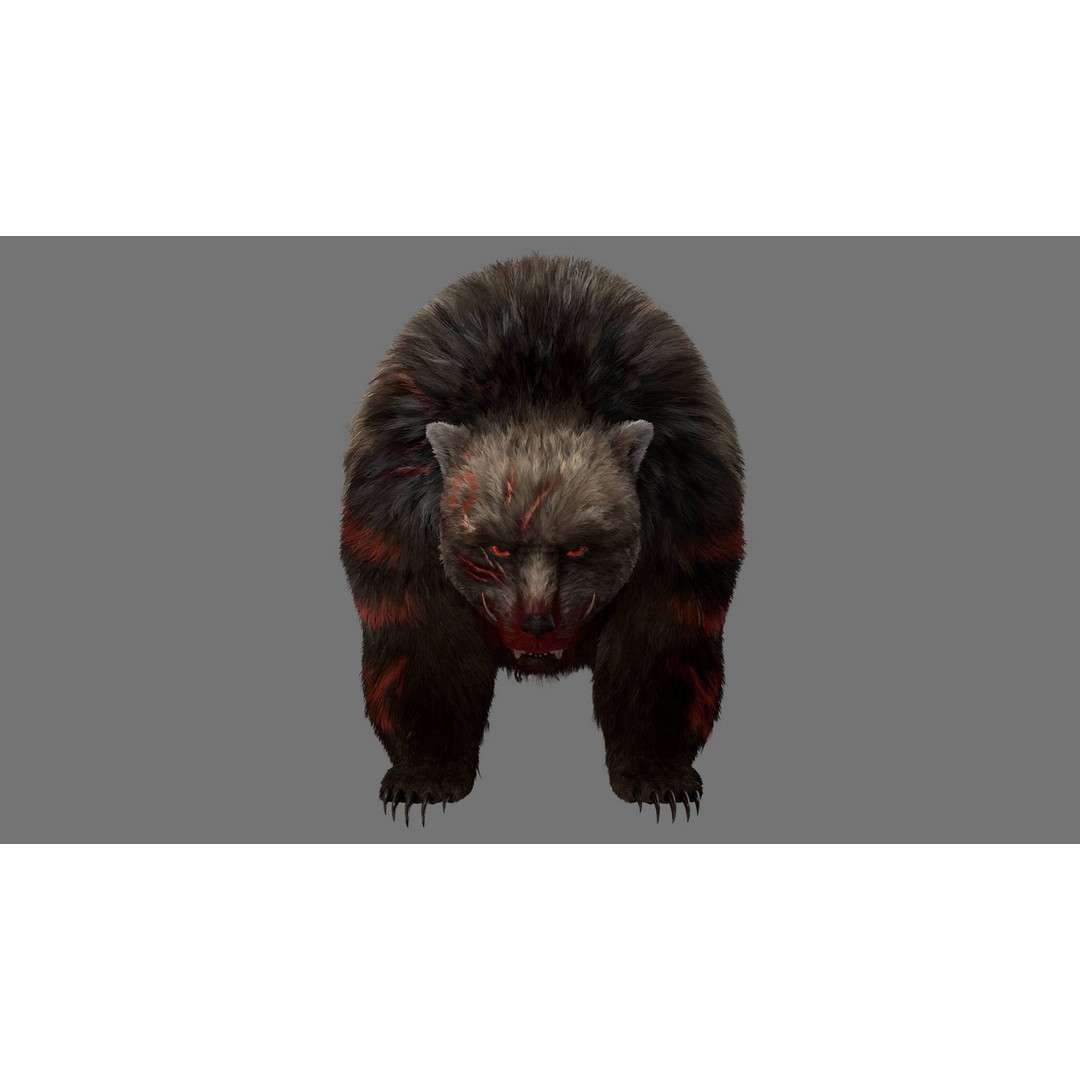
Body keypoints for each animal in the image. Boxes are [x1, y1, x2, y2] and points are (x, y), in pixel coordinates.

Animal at [340, 254, 745, 825]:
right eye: (496, 548)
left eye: (578, 548)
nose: (536, 624)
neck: (539, 396)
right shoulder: (396, 526)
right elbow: (425, 649)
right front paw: (425, 774)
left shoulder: (686, 523)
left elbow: (659, 648)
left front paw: (657, 773)